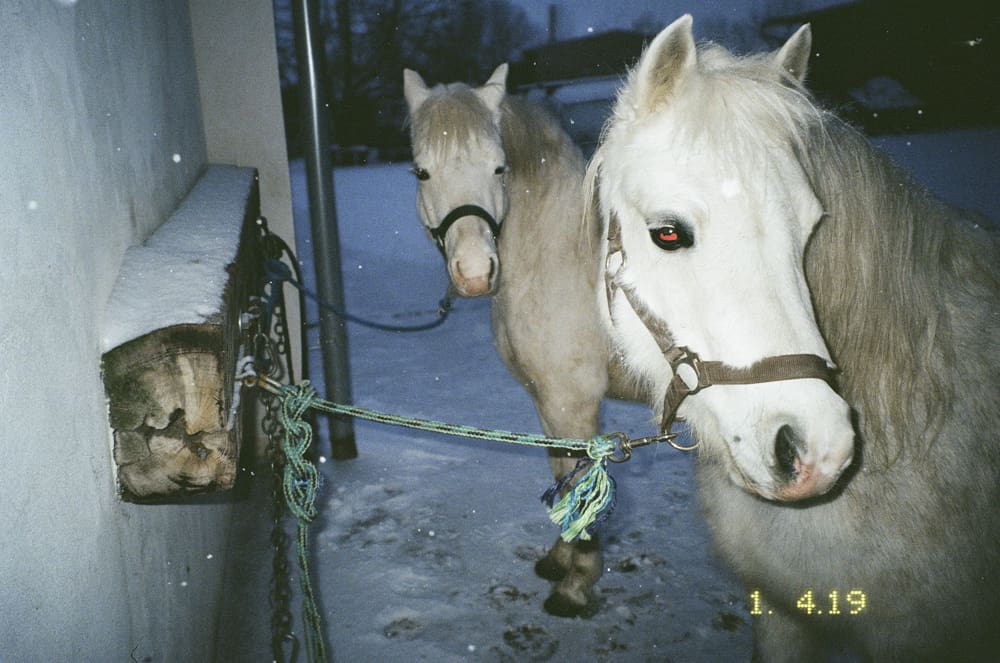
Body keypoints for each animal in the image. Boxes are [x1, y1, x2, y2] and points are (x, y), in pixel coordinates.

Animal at [400, 65, 640, 620]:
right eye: (421, 172)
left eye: (498, 168)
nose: (473, 274)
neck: (564, 258)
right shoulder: (545, 402)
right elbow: (560, 471)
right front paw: (559, 560)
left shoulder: (573, 403)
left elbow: (579, 477)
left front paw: (576, 586)